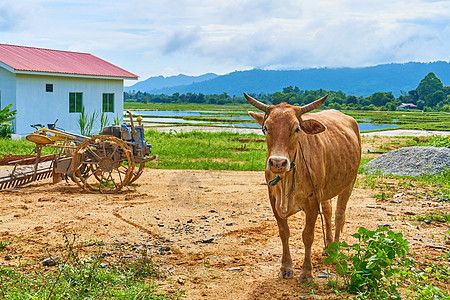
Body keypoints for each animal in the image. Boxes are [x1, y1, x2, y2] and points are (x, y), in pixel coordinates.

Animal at [244, 92, 360, 282]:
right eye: (266, 128)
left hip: (349, 182)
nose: (278, 162)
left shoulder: (312, 200)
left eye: (297, 129)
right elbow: (284, 232)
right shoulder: (273, 198)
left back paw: (335, 249)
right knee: (328, 212)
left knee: (339, 215)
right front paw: (286, 267)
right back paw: (328, 247)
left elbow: (308, 235)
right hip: (326, 190)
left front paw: (306, 272)